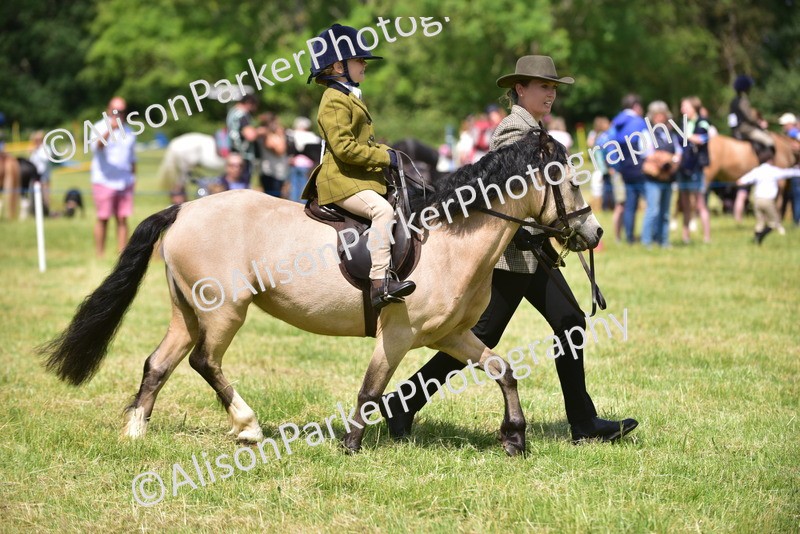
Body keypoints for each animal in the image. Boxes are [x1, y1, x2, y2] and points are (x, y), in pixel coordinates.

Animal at [40, 129, 601, 456]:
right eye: (569, 181)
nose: (594, 233)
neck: (450, 239)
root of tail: (184, 208)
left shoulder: (451, 334)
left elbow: (502, 370)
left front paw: (515, 438)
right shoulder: (398, 334)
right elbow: (371, 389)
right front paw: (352, 444)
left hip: (188, 310)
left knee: (159, 363)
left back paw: (136, 433)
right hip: (225, 311)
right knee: (204, 361)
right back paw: (247, 426)